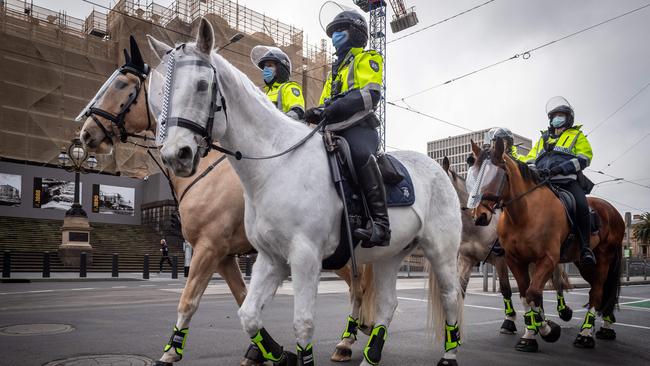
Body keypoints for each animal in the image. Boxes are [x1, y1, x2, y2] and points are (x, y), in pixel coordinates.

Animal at [78, 35, 372, 364]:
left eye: (121, 84)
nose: (86, 134)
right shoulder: (226, 255)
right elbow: (243, 297)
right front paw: (266, 350)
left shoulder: (209, 248)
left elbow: (189, 300)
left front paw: (171, 351)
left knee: (358, 288)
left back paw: (348, 339)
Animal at [147, 19, 460, 366]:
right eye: (163, 91)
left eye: (202, 85)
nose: (176, 154)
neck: (277, 165)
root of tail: (439, 169)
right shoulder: (269, 259)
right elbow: (248, 315)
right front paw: (277, 354)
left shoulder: (303, 257)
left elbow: (303, 323)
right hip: (388, 255)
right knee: (387, 304)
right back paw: (370, 354)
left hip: (441, 253)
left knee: (450, 298)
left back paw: (449, 354)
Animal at [466, 139, 624, 354]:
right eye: (473, 174)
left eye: (496, 175)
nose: (479, 216)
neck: (524, 214)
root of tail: (613, 211)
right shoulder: (515, 261)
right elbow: (526, 295)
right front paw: (530, 334)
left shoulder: (547, 259)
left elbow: (533, 293)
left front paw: (548, 330)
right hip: (584, 264)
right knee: (598, 291)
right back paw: (602, 328)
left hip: (604, 259)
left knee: (598, 292)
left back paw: (585, 334)